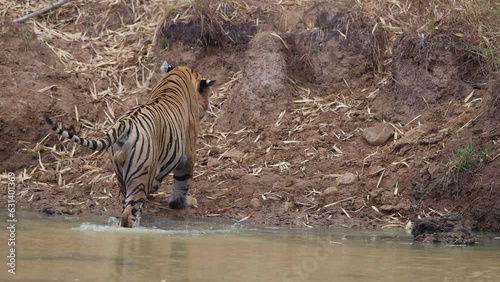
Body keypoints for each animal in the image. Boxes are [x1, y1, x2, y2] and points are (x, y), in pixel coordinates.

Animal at [47, 64, 217, 227]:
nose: (208, 105)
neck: (180, 73)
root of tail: (125, 123)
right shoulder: (188, 154)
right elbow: (182, 184)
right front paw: (184, 202)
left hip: (121, 175)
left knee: (124, 204)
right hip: (139, 178)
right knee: (129, 214)